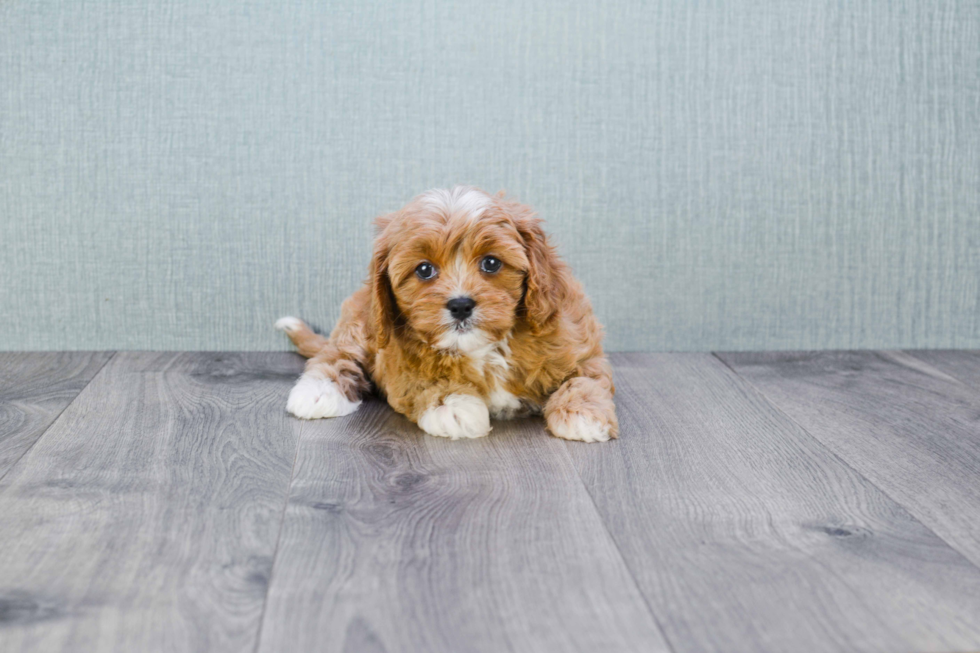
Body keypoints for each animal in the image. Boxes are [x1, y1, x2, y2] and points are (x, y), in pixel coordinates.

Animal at [272, 187, 616, 444]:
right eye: (424, 269)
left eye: (491, 263)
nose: (461, 305)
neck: (484, 348)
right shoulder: (397, 362)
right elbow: (424, 381)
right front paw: (453, 406)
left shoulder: (579, 345)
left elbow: (586, 378)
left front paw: (584, 414)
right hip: (361, 323)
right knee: (337, 354)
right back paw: (317, 391)